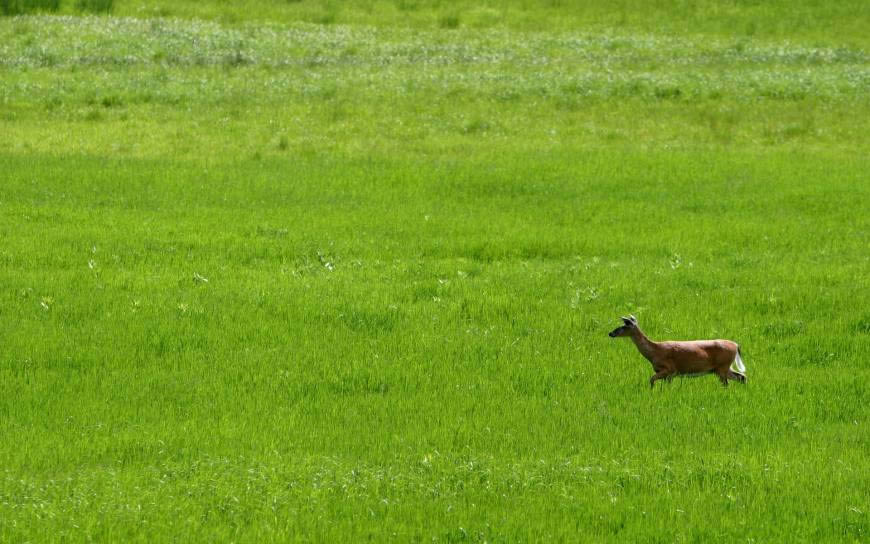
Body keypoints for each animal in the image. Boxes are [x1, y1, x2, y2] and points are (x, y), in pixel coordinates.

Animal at [608, 314, 744, 386]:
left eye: (623, 327)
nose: (610, 333)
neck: (654, 352)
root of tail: (736, 345)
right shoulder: (669, 374)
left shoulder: (670, 369)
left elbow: (651, 380)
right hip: (721, 368)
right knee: (742, 377)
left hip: (722, 366)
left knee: (731, 382)